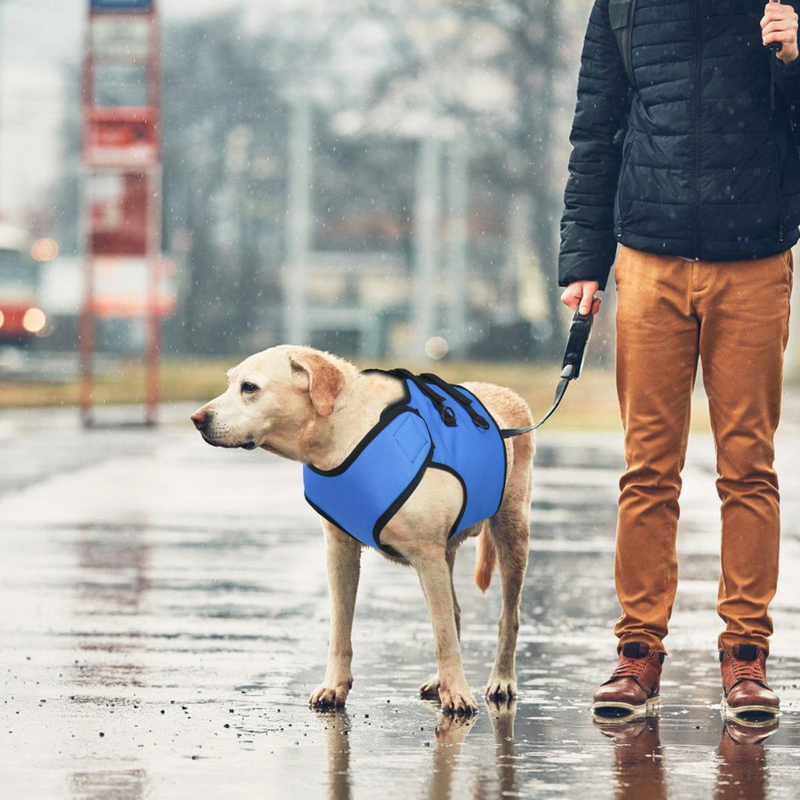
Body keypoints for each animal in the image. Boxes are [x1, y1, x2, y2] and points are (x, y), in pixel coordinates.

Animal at [191, 344, 536, 712]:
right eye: (230, 383)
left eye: (250, 388)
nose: (197, 418)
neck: (346, 433)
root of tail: (508, 392)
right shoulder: (341, 551)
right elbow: (340, 628)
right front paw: (334, 685)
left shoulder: (427, 555)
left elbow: (443, 636)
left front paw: (457, 691)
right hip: (447, 552)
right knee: (454, 611)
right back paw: (439, 681)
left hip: (511, 533)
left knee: (507, 617)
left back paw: (501, 679)